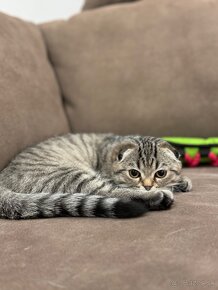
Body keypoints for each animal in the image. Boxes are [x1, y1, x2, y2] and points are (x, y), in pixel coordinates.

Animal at [0, 135, 192, 219]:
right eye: (134, 173)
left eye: (160, 173)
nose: (148, 186)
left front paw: (182, 181)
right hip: (72, 176)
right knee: (112, 192)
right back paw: (159, 197)